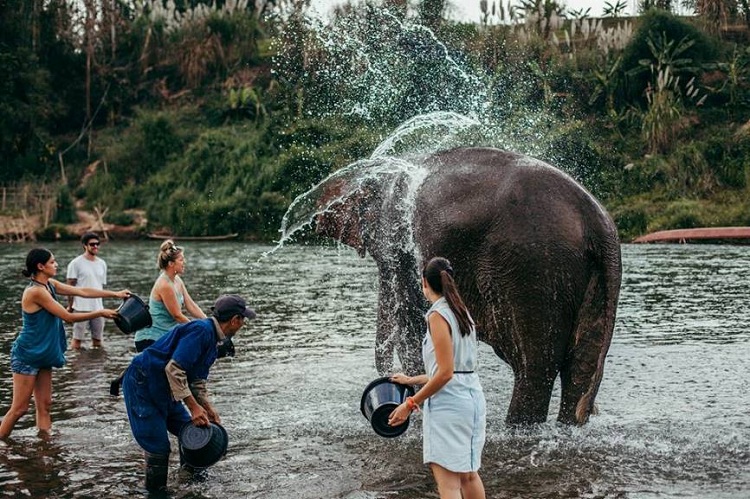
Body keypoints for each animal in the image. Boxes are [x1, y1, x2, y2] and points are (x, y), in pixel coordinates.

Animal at [316, 146, 624, 424]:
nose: (383, 387)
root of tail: (598, 223)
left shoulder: (398, 239)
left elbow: (411, 321)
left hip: (535, 268)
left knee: (535, 366)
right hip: (592, 277)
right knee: (581, 367)